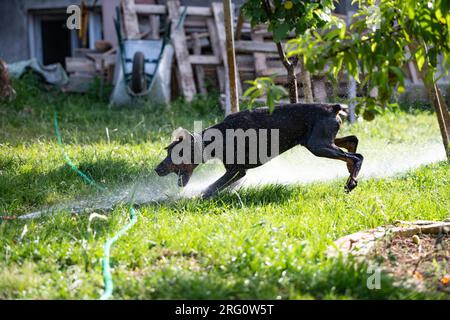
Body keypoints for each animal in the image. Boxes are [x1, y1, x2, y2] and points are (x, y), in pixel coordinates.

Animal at [156, 103, 364, 198]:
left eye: (174, 154)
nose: (157, 169)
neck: (216, 138)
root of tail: (332, 107)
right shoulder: (238, 172)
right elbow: (219, 186)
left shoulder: (235, 169)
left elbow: (211, 187)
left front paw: (195, 197)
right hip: (319, 140)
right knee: (353, 143)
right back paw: (350, 176)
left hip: (318, 146)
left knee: (355, 157)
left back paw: (351, 182)